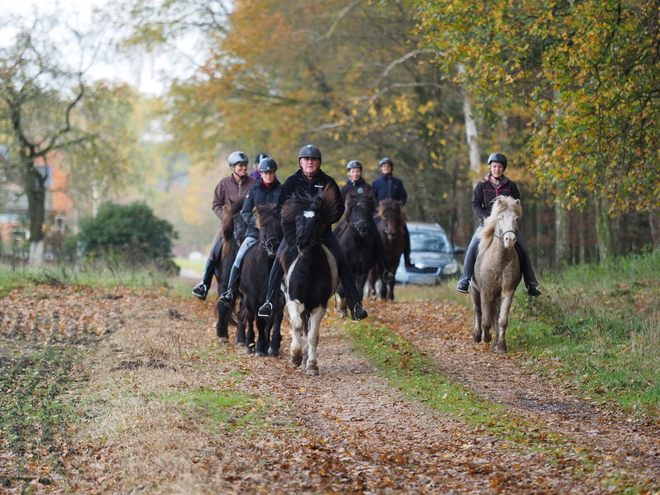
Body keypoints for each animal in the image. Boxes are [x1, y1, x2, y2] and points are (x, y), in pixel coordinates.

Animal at [235, 203, 284, 358]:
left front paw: (273, 346)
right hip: (247, 299)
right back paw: (250, 344)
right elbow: (258, 322)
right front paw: (260, 347)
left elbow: (276, 319)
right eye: (263, 225)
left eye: (280, 224)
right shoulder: (253, 298)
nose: (273, 246)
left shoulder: (277, 298)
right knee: (250, 317)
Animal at [278, 188, 340, 378]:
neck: (309, 270)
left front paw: (312, 365)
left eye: (317, 220)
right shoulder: (294, 301)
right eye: (298, 219)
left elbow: (313, 335)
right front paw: (295, 356)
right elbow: (296, 325)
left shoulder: (319, 305)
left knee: (308, 329)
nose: (303, 243)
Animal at [472, 196, 524, 354]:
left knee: (495, 316)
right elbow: (485, 320)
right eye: (500, 218)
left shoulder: (507, 292)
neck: (500, 260)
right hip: (474, 290)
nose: (510, 240)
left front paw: (501, 346)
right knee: (477, 311)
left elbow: (501, 320)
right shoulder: (485, 292)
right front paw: (486, 337)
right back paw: (477, 336)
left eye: (516, 218)